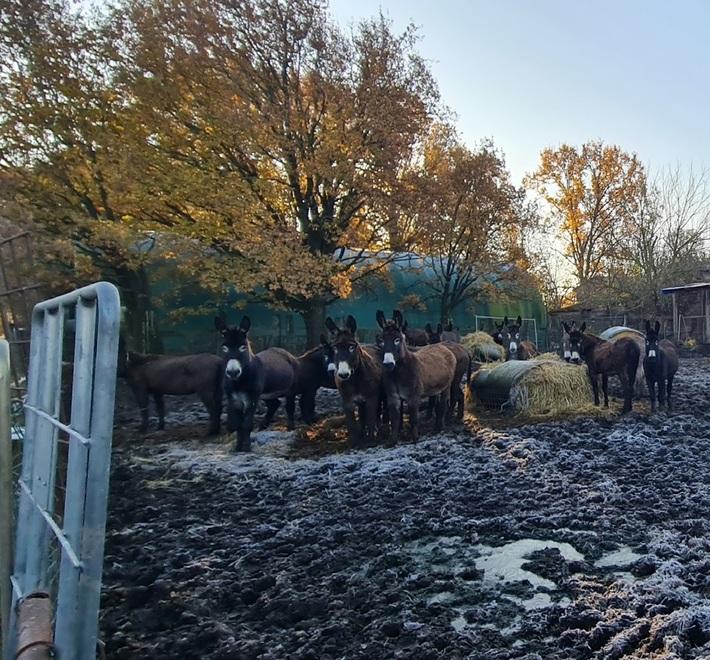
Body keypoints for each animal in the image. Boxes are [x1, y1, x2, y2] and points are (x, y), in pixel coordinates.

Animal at [215, 316, 299, 452]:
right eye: (224, 348)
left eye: (243, 347)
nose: (233, 372)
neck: (239, 382)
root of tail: (283, 351)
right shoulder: (234, 399)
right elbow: (238, 424)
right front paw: (238, 448)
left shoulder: (252, 398)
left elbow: (247, 424)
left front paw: (247, 448)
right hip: (267, 393)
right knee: (274, 404)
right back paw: (263, 426)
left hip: (290, 388)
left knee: (290, 407)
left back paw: (290, 428)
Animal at [328, 315, 383, 446]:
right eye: (335, 348)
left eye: (351, 347)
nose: (343, 374)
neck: (355, 379)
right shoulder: (347, 401)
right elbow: (351, 423)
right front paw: (354, 442)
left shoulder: (372, 398)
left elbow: (371, 419)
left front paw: (371, 441)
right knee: (362, 416)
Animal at [377, 310, 457, 443]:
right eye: (382, 340)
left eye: (397, 340)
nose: (388, 364)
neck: (398, 373)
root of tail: (441, 346)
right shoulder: (393, 397)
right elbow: (394, 420)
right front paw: (392, 441)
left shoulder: (413, 397)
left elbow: (413, 418)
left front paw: (414, 438)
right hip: (435, 387)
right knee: (436, 404)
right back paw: (436, 426)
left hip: (446, 386)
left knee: (442, 405)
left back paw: (440, 427)